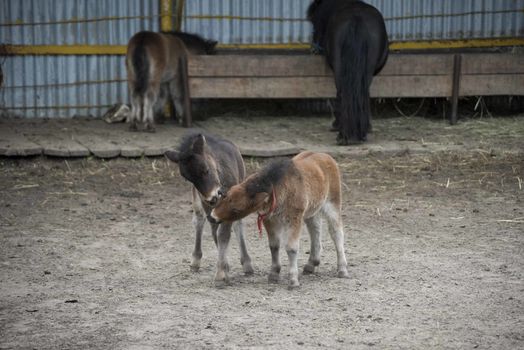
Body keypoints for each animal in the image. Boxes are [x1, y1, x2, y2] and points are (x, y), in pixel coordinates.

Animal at [165, 131, 253, 284]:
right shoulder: (207, 205)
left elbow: (223, 234)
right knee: (199, 219)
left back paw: (247, 264)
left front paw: (221, 273)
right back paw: (195, 261)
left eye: (205, 170)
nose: (213, 197)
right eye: (189, 179)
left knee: (237, 223)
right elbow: (216, 232)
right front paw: (224, 270)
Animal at [208, 152, 348, 288]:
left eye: (236, 209)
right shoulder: (269, 220)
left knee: (336, 233)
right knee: (315, 230)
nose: (212, 217)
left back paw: (342, 269)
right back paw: (311, 264)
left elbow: (291, 248)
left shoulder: (294, 219)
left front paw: (293, 280)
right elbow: (274, 246)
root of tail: (326, 156)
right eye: (225, 196)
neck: (278, 188)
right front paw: (274, 274)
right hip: (312, 212)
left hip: (332, 205)